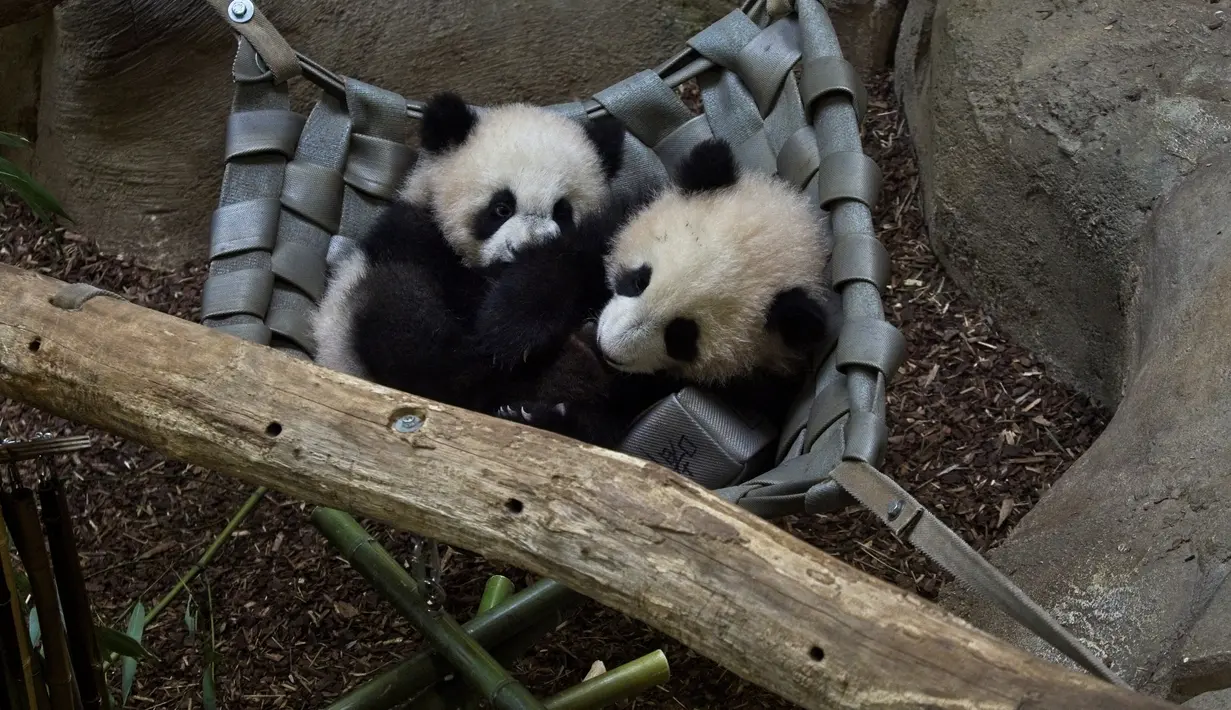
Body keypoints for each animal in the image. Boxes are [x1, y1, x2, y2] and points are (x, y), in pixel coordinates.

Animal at [310, 91, 627, 413]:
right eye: (501, 208)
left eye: (562, 212)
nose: (524, 249)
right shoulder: (415, 235)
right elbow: (456, 296)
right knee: (401, 317)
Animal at [490, 137, 833, 449]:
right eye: (639, 280)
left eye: (682, 337)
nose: (607, 347)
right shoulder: (617, 220)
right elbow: (561, 262)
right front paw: (516, 339)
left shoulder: (759, 388)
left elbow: (613, 414)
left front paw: (545, 415)